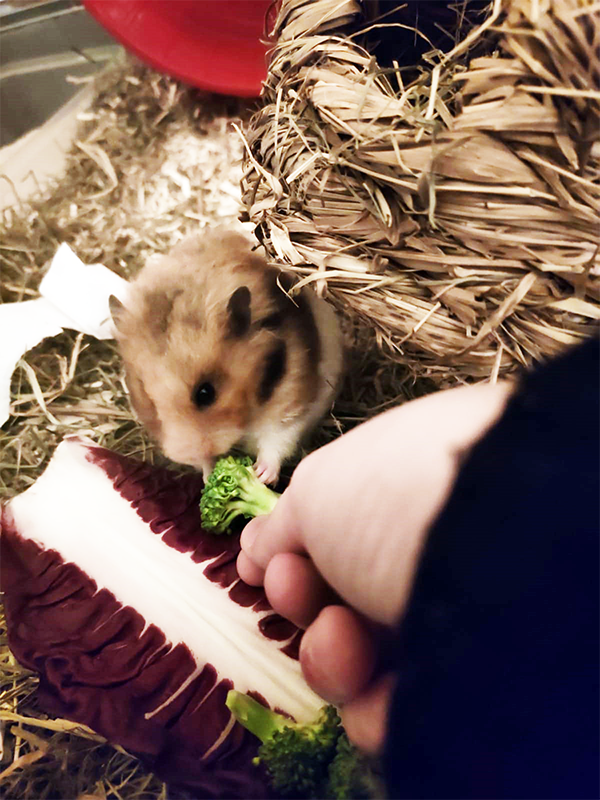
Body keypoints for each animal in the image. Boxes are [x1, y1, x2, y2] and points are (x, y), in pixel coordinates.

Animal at [110, 228, 344, 484]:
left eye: (205, 393)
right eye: (147, 400)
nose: (186, 454)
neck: (245, 419)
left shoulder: (293, 399)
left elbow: (277, 439)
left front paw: (261, 476)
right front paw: (208, 477)